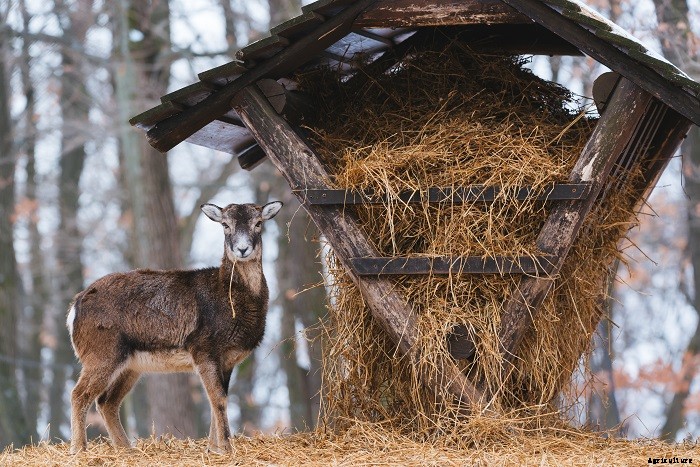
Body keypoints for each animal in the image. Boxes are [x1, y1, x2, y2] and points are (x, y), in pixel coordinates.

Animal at [66, 201, 283, 454]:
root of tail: (74, 308)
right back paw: (79, 450)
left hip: (131, 364)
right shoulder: (202, 348)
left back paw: (127, 449)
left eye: (258, 223)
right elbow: (218, 398)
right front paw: (226, 448)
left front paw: (213, 448)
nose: (242, 249)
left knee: (106, 401)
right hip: (102, 353)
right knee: (79, 394)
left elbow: (217, 399)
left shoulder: (228, 359)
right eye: (225, 225)